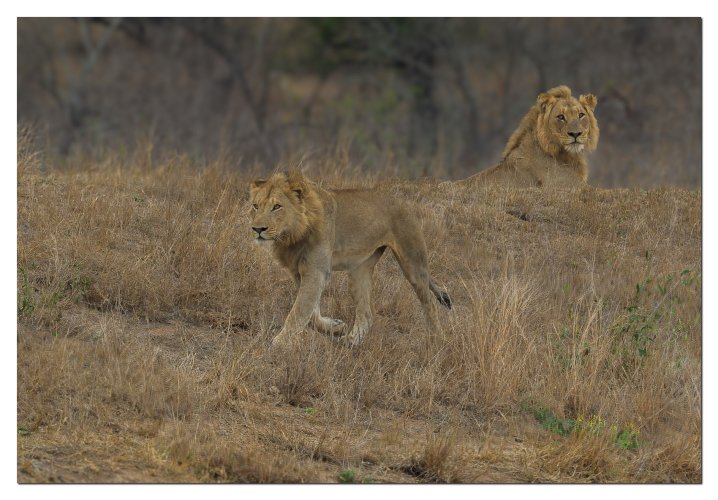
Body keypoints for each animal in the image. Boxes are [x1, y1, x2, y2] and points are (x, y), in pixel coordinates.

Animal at [249, 171, 450, 348]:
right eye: (255, 206)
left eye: (277, 207)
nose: (257, 229)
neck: (291, 237)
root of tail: (403, 202)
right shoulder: (299, 273)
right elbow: (311, 312)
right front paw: (335, 327)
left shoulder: (316, 271)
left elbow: (299, 310)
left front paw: (279, 342)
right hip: (359, 270)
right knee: (367, 314)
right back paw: (350, 341)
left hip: (413, 261)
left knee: (429, 303)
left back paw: (437, 341)